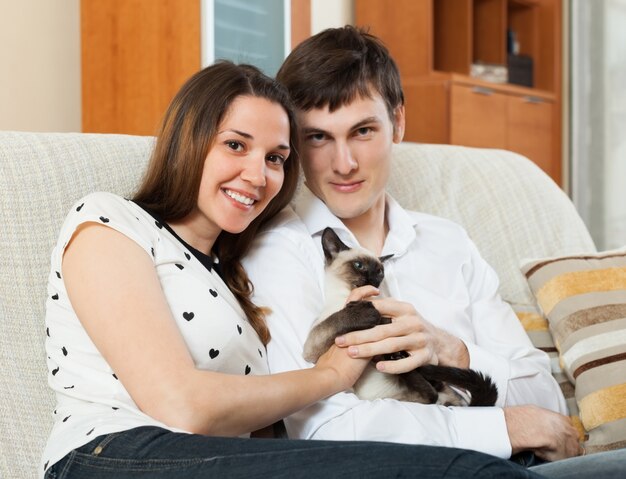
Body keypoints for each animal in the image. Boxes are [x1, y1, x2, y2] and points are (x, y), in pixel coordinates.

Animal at [302, 227, 498, 406]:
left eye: (380, 271)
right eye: (359, 265)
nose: (373, 279)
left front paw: (380, 318)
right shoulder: (312, 351)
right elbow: (336, 319)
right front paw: (371, 314)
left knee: (431, 391)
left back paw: (398, 359)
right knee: (429, 395)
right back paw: (396, 359)